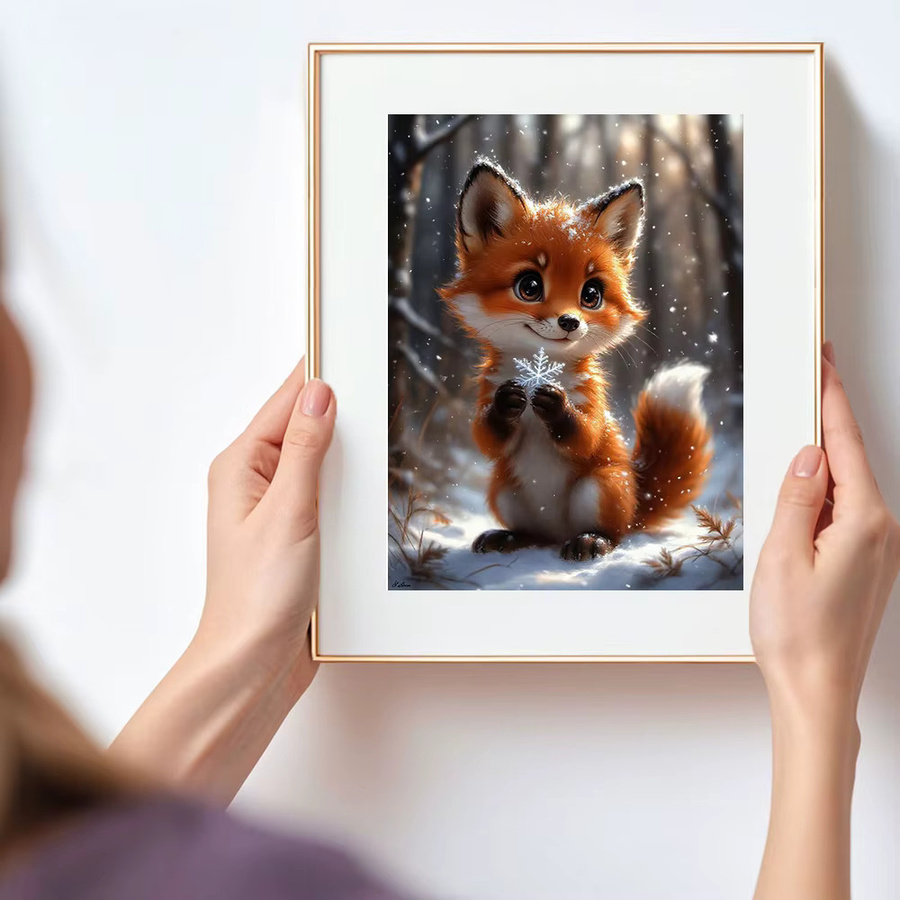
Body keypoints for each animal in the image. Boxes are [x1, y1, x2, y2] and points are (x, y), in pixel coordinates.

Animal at [438, 159, 713, 561]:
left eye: (591, 294)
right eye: (529, 286)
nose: (569, 322)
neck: (540, 369)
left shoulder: (592, 401)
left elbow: (585, 435)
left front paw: (556, 406)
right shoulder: (486, 393)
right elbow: (486, 436)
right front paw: (508, 404)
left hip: (599, 487)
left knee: (615, 533)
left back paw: (591, 541)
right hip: (504, 491)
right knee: (532, 533)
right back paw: (508, 537)